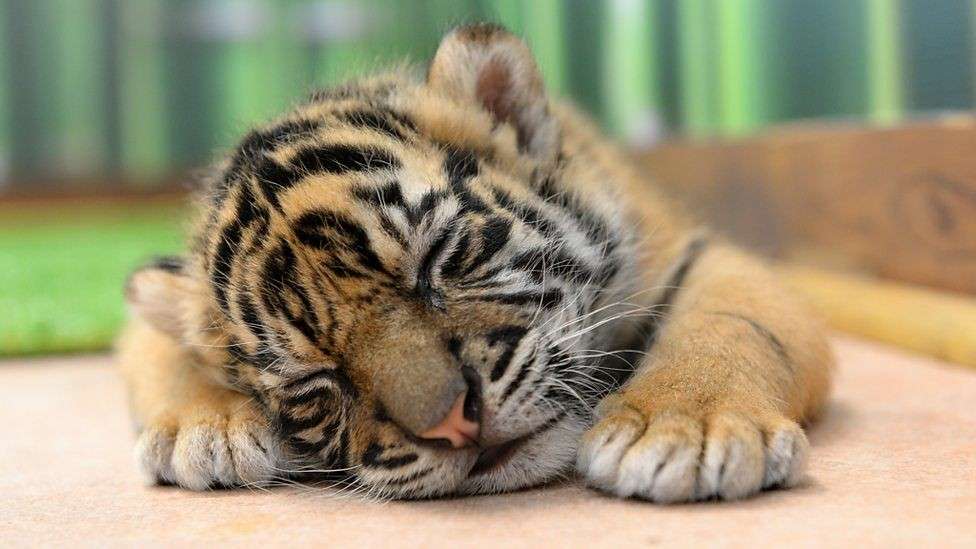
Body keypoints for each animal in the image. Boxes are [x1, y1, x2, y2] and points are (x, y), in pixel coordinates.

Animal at [118, 23, 832, 502]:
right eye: (315, 379)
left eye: (438, 257)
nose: (456, 427)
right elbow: (161, 349)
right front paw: (206, 430)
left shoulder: (696, 252)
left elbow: (732, 325)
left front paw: (685, 429)